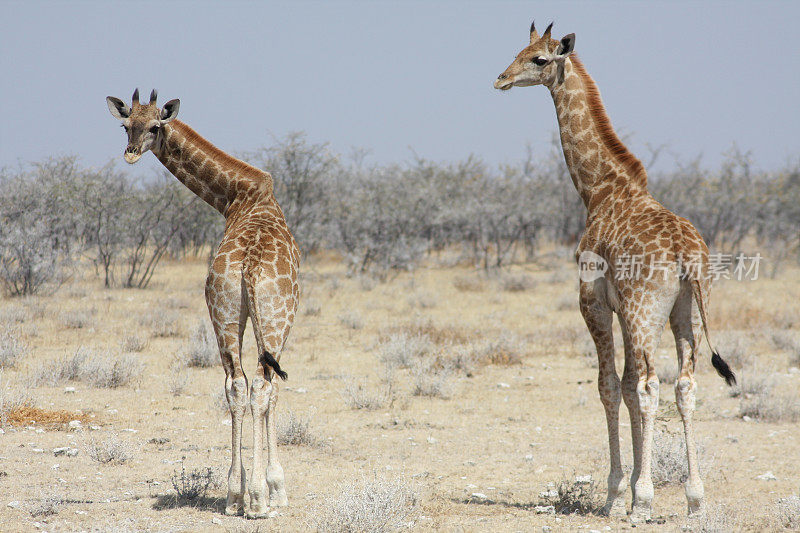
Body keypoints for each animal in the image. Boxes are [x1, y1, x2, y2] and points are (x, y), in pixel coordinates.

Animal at [108, 87, 302, 516]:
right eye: (126, 125)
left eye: (154, 126)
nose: (130, 153)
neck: (237, 197)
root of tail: (248, 267)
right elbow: (274, 391)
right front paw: (276, 489)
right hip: (274, 316)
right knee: (260, 385)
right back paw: (256, 499)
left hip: (224, 312)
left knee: (236, 385)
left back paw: (234, 496)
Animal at [494, 23, 736, 520]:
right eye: (518, 50)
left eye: (539, 59)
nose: (501, 79)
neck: (598, 190)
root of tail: (686, 253)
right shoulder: (625, 310)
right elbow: (623, 386)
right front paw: (628, 492)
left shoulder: (593, 303)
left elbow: (609, 387)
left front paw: (616, 493)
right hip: (685, 308)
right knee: (684, 383)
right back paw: (695, 499)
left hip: (647, 311)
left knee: (650, 385)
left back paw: (643, 501)